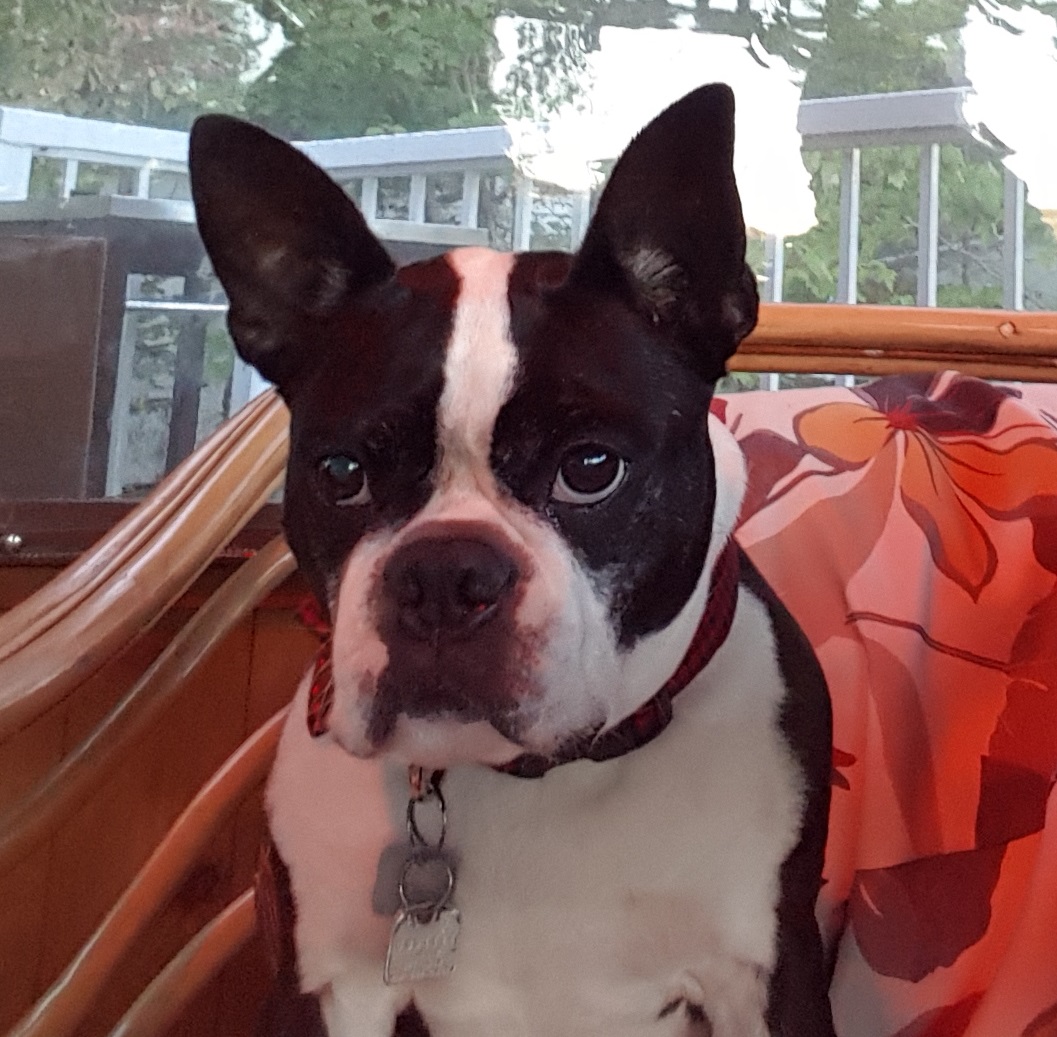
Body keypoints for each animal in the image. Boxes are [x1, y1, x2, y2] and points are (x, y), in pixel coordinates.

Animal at [189, 83, 835, 1037]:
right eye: (341, 473)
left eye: (590, 468)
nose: (441, 576)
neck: (529, 781)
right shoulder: (324, 990)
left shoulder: (765, 976)